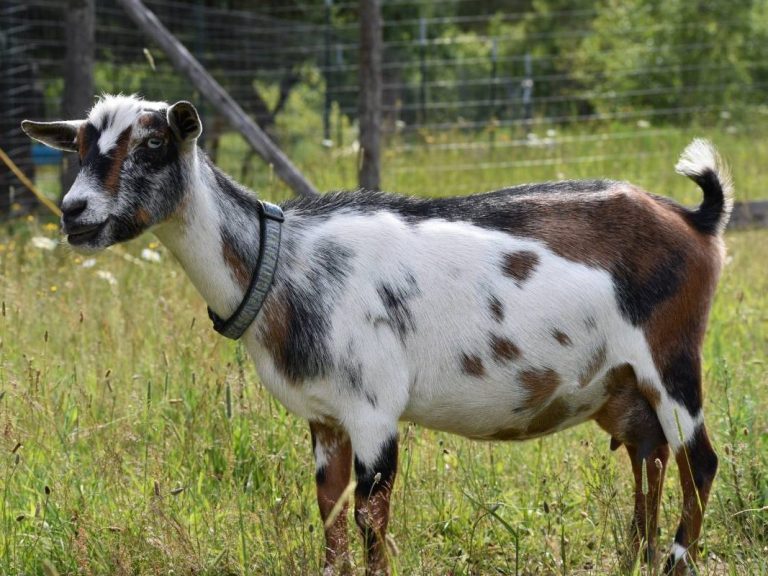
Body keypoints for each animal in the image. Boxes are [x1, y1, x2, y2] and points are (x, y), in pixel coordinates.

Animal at [22, 95, 731, 576]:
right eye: (78, 146)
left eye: (152, 144)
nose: (74, 212)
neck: (284, 263)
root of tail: (695, 220)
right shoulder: (325, 418)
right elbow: (331, 514)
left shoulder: (373, 411)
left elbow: (369, 518)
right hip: (624, 387)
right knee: (649, 455)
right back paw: (636, 558)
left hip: (672, 358)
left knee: (698, 460)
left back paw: (674, 562)